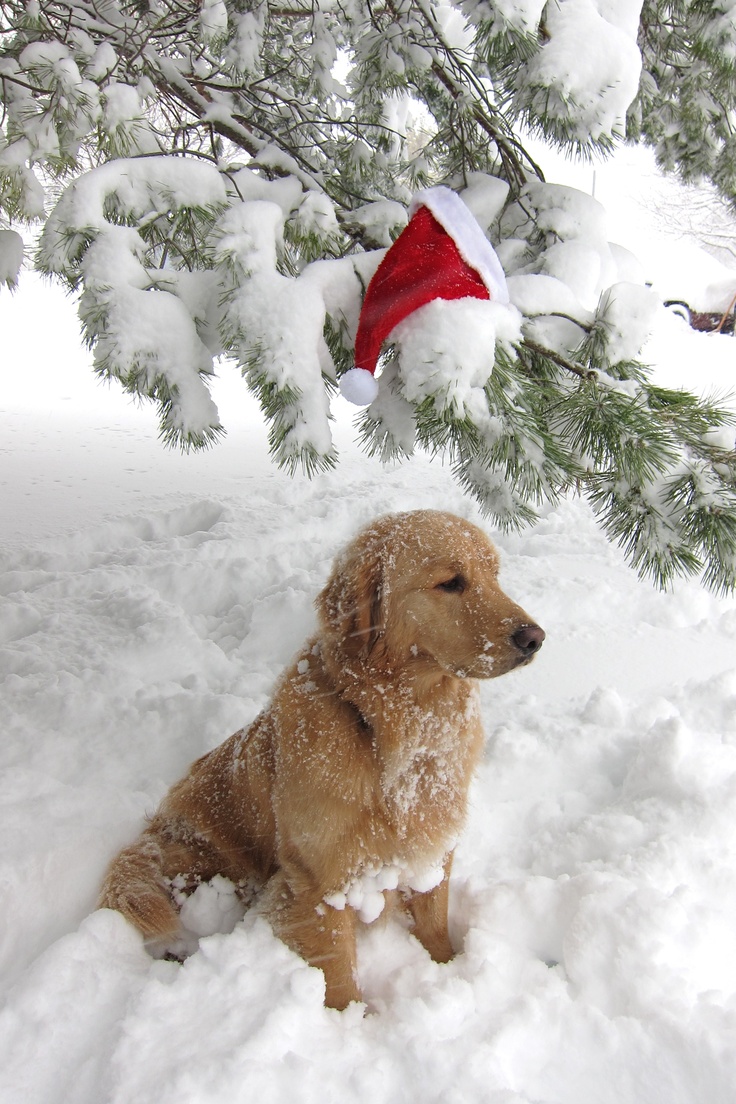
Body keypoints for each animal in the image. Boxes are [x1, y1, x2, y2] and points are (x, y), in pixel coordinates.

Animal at [99, 507, 540, 1011]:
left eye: (495, 575)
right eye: (451, 582)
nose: (536, 638)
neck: (385, 728)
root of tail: (152, 831)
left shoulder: (430, 848)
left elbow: (433, 923)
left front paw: (448, 969)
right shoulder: (320, 881)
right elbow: (340, 971)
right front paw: (352, 1022)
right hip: (204, 863)